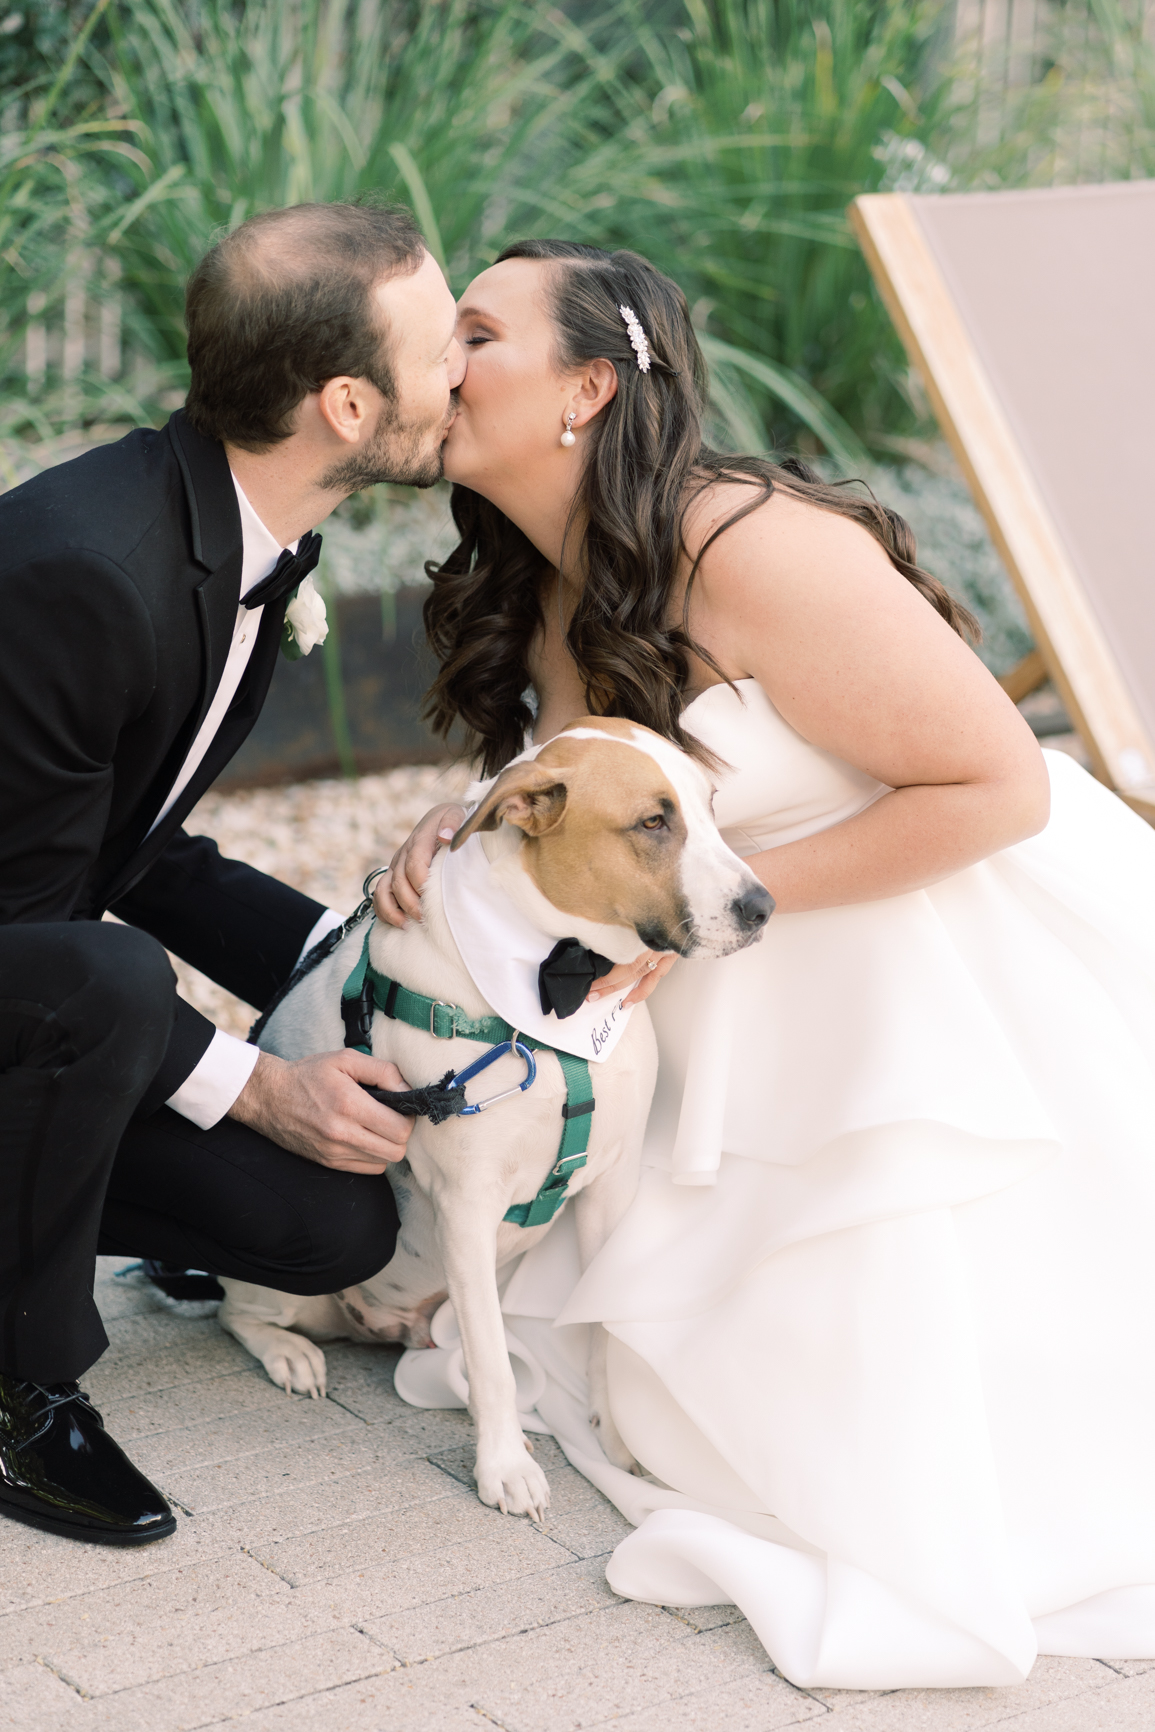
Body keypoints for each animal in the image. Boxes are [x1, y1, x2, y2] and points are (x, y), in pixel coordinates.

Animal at [219, 717, 772, 1517]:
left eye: (709, 806)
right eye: (652, 822)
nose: (763, 908)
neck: (558, 983)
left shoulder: (611, 1186)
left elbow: (600, 1327)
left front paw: (615, 1444)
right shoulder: (467, 1206)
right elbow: (491, 1361)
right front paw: (505, 1468)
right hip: (281, 1282)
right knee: (235, 1310)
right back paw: (290, 1354)